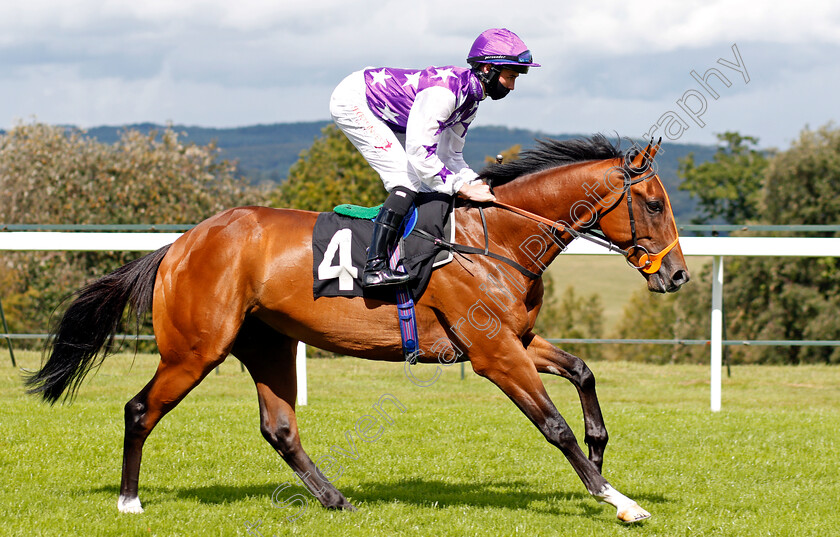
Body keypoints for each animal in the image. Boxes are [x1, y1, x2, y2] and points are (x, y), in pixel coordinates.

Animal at [24, 134, 688, 524]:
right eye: (655, 204)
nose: (678, 274)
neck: (494, 240)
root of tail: (180, 244)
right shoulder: (494, 352)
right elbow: (553, 425)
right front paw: (618, 500)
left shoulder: (516, 340)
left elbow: (583, 372)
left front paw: (601, 449)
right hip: (196, 348)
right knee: (141, 409)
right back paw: (129, 500)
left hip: (268, 342)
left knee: (279, 427)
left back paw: (335, 498)